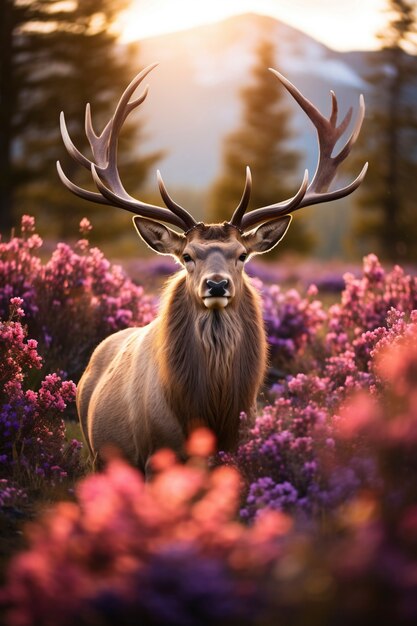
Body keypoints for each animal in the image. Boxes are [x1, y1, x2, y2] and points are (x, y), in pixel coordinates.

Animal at [57, 63, 366, 472]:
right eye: (188, 256)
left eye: (242, 255)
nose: (217, 285)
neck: (210, 413)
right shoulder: (157, 451)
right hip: (97, 452)